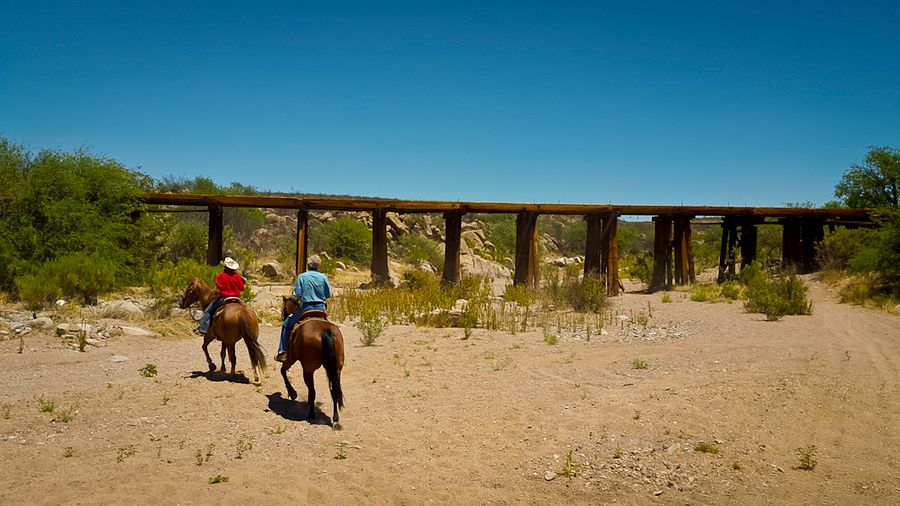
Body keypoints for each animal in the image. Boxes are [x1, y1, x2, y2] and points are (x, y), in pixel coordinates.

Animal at [280, 296, 342, 426]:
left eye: (284, 308)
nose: (283, 317)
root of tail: (325, 331)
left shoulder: (291, 359)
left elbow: (282, 371)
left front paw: (292, 393)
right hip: (336, 368)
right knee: (334, 391)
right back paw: (335, 418)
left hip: (308, 370)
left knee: (313, 391)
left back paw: (311, 414)